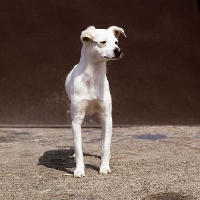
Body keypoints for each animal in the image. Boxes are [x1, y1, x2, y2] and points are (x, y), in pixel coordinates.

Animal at [65, 25, 126, 177]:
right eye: (102, 42)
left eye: (116, 42)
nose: (119, 50)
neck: (93, 76)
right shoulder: (76, 120)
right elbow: (79, 148)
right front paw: (79, 169)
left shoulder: (106, 116)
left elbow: (105, 147)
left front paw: (104, 167)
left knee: (104, 139)